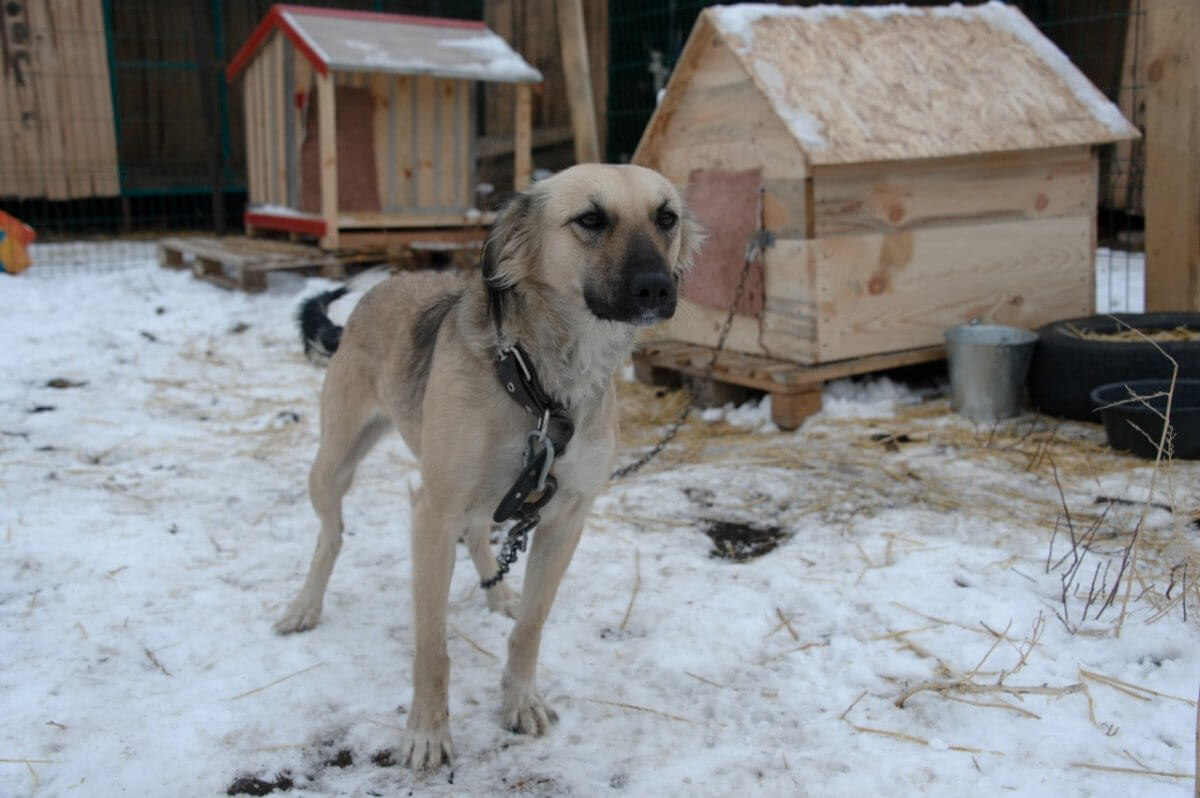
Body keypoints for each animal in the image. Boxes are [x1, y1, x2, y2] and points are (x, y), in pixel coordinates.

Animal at [274, 162, 700, 768]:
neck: (541, 389)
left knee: (478, 534)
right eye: (590, 220)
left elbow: (531, 628)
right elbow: (432, 646)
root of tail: (380, 291)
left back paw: (495, 591)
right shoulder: (431, 514)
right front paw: (428, 732)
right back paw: (306, 606)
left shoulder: (565, 518)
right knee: (330, 536)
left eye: (666, 218)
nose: (658, 287)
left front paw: (519, 699)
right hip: (334, 463)